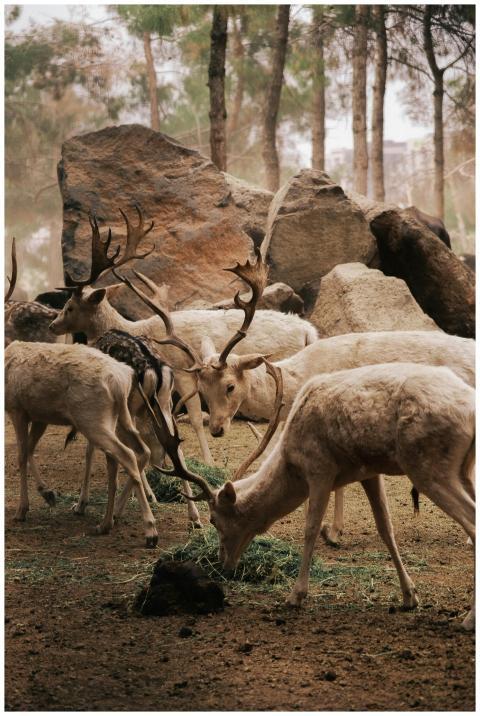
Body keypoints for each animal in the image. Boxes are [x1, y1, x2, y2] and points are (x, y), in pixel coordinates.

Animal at [48, 211, 318, 466]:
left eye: (70, 306)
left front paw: (207, 462)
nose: (53, 325)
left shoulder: (182, 371)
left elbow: (195, 418)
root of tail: (308, 331)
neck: (138, 328)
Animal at [171, 362, 475, 631]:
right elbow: (385, 528)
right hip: (464, 470)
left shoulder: (320, 469)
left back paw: (468, 620)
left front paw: (295, 595)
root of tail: (471, 411)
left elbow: (311, 528)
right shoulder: (369, 472)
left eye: (214, 520)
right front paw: (410, 596)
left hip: (428, 465)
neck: (291, 463)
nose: (223, 564)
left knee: (471, 522)